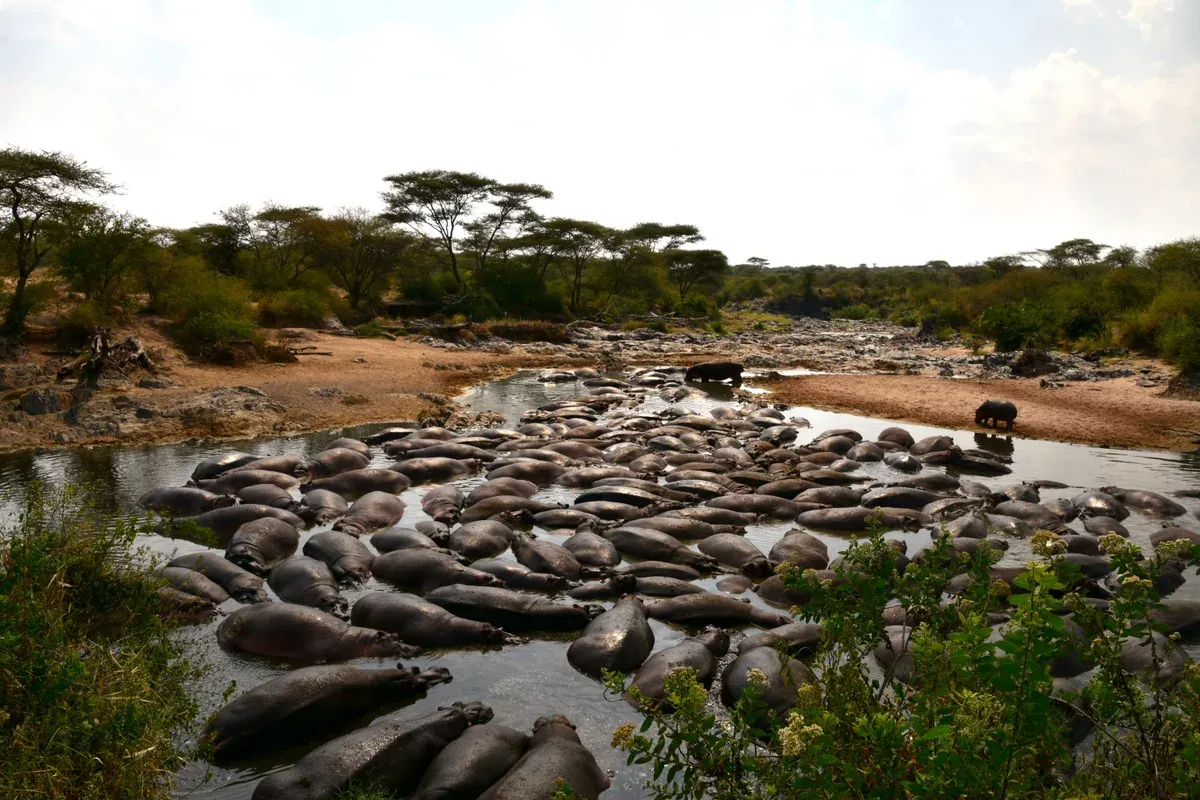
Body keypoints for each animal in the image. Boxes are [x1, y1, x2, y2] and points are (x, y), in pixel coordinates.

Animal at [217, 603, 422, 662]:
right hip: (230, 639)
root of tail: (224, 622)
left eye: (397, 635)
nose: (415, 647)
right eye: (388, 640)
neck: (360, 640)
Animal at [372, 550, 505, 595]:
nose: (500, 581)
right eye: (487, 578)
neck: (460, 574)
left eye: (492, 575)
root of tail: (375, 560)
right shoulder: (432, 579)